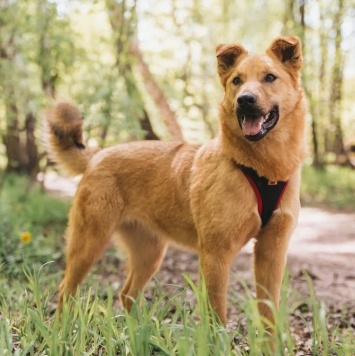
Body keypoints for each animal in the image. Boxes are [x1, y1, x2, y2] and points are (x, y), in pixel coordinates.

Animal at [43, 36, 306, 328]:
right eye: (237, 81)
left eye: (269, 77)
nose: (245, 100)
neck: (262, 170)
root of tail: (99, 153)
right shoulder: (216, 255)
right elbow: (217, 317)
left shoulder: (272, 253)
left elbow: (270, 319)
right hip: (89, 244)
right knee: (66, 289)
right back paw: (62, 330)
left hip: (149, 254)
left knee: (126, 294)